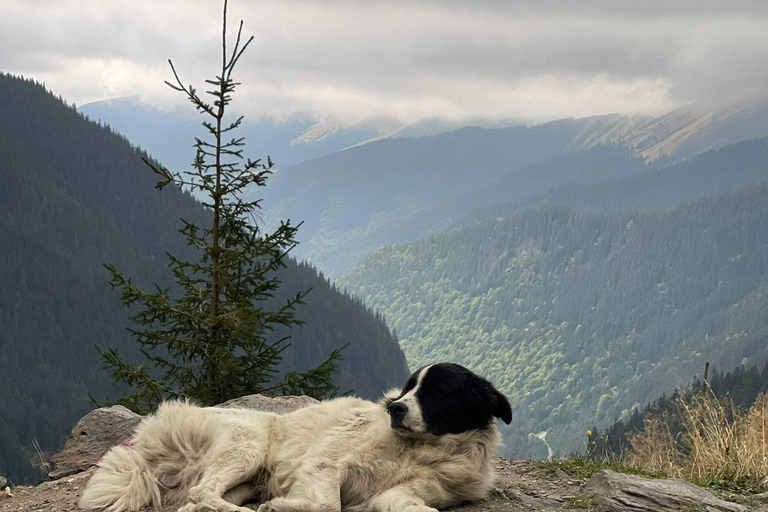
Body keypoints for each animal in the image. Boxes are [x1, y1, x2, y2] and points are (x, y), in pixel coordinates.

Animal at [78, 362, 512, 512]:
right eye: (408, 389)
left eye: (438, 391)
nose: (396, 409)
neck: (419, 451)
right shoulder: (325, 463)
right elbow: (329, 505)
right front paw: (283, 507)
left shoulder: (402, 494)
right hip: (248, 446)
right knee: (202, 492)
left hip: (246, 479)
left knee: (194, 501)